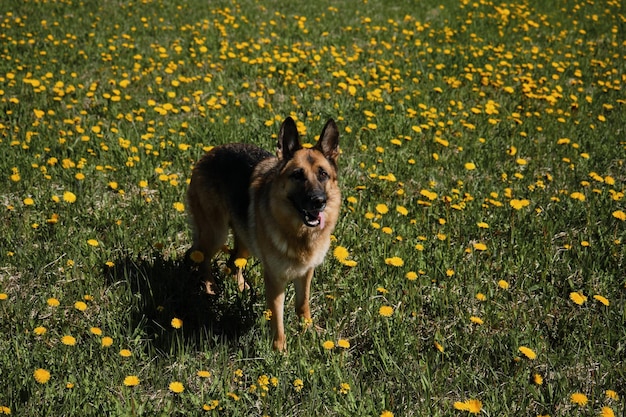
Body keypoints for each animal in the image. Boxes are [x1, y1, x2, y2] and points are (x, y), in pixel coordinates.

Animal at [186, 117, 338, 352]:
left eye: (323, 174)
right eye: (297, 175)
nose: (318, 201)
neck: (298, 232)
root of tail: (211, 153)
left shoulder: (306, 273)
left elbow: (302, 304)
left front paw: (309, 331)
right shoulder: (275, 280)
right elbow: (277, 318)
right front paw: (280, 350)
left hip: (244, 242)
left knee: (232, 263)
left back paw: (240, 288)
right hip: (216, 234)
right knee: (202, 258)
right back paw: (210, 288)